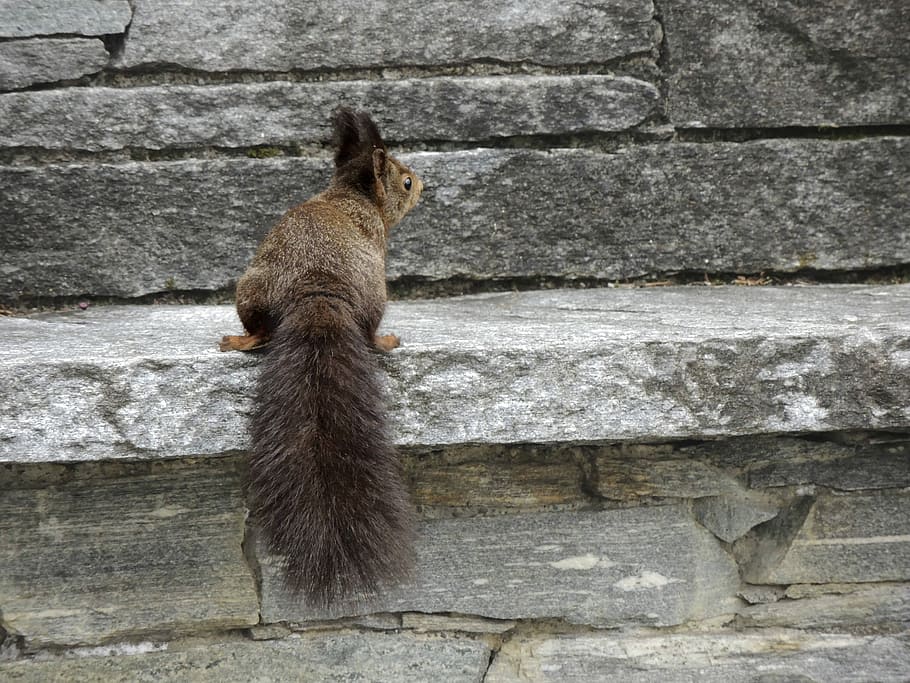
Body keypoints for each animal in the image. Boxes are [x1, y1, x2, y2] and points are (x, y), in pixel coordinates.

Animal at [219, 107, 423, 607]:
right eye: (406, 182)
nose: (425, 185)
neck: (348, 194)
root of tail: (317, 290)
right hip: (375, 297)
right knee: (368, 333)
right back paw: (385, 340)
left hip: (249, 290)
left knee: (259, 328)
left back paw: (240, 341)